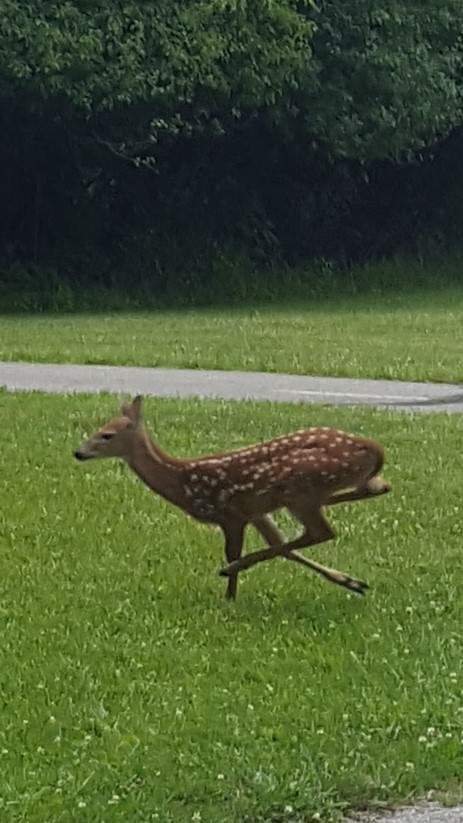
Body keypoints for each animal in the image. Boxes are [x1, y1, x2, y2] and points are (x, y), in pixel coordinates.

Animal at [74, 395, 391, 600]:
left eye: (106, 435)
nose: (78, 452)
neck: (183, 483)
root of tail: (372, 447)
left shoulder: (230, 514)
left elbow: (235, 551)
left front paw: (229, 595)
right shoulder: (256, 512)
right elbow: (280, 546)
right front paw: (351, 581)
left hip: (301, 488)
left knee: (321, 530)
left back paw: (230, 570)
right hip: (315, 490)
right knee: (379, 486)